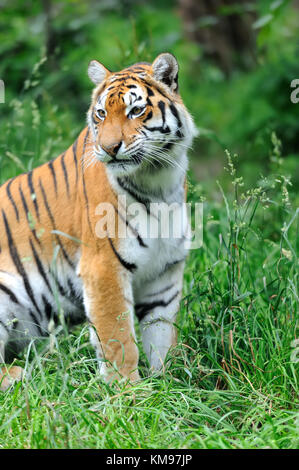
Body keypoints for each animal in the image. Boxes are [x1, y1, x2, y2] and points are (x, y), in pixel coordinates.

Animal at [0, 51, 197, 392]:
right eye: (102, 113)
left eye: (135, 110)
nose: (108, 148)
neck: (158, 180)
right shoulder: (104, 267)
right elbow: (118, 339)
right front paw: (128, 392)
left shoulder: (165, 274)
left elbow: (162, 336)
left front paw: (169, 384)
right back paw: (18, 376)